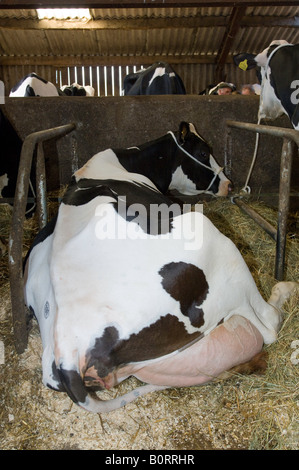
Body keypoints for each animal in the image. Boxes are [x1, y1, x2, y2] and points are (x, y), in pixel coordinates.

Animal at [24, 123, 298, 414]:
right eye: (203, 152)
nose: (229, 184)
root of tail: (69, 348)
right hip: (221, 251)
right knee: (268, 324)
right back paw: (286, 289)